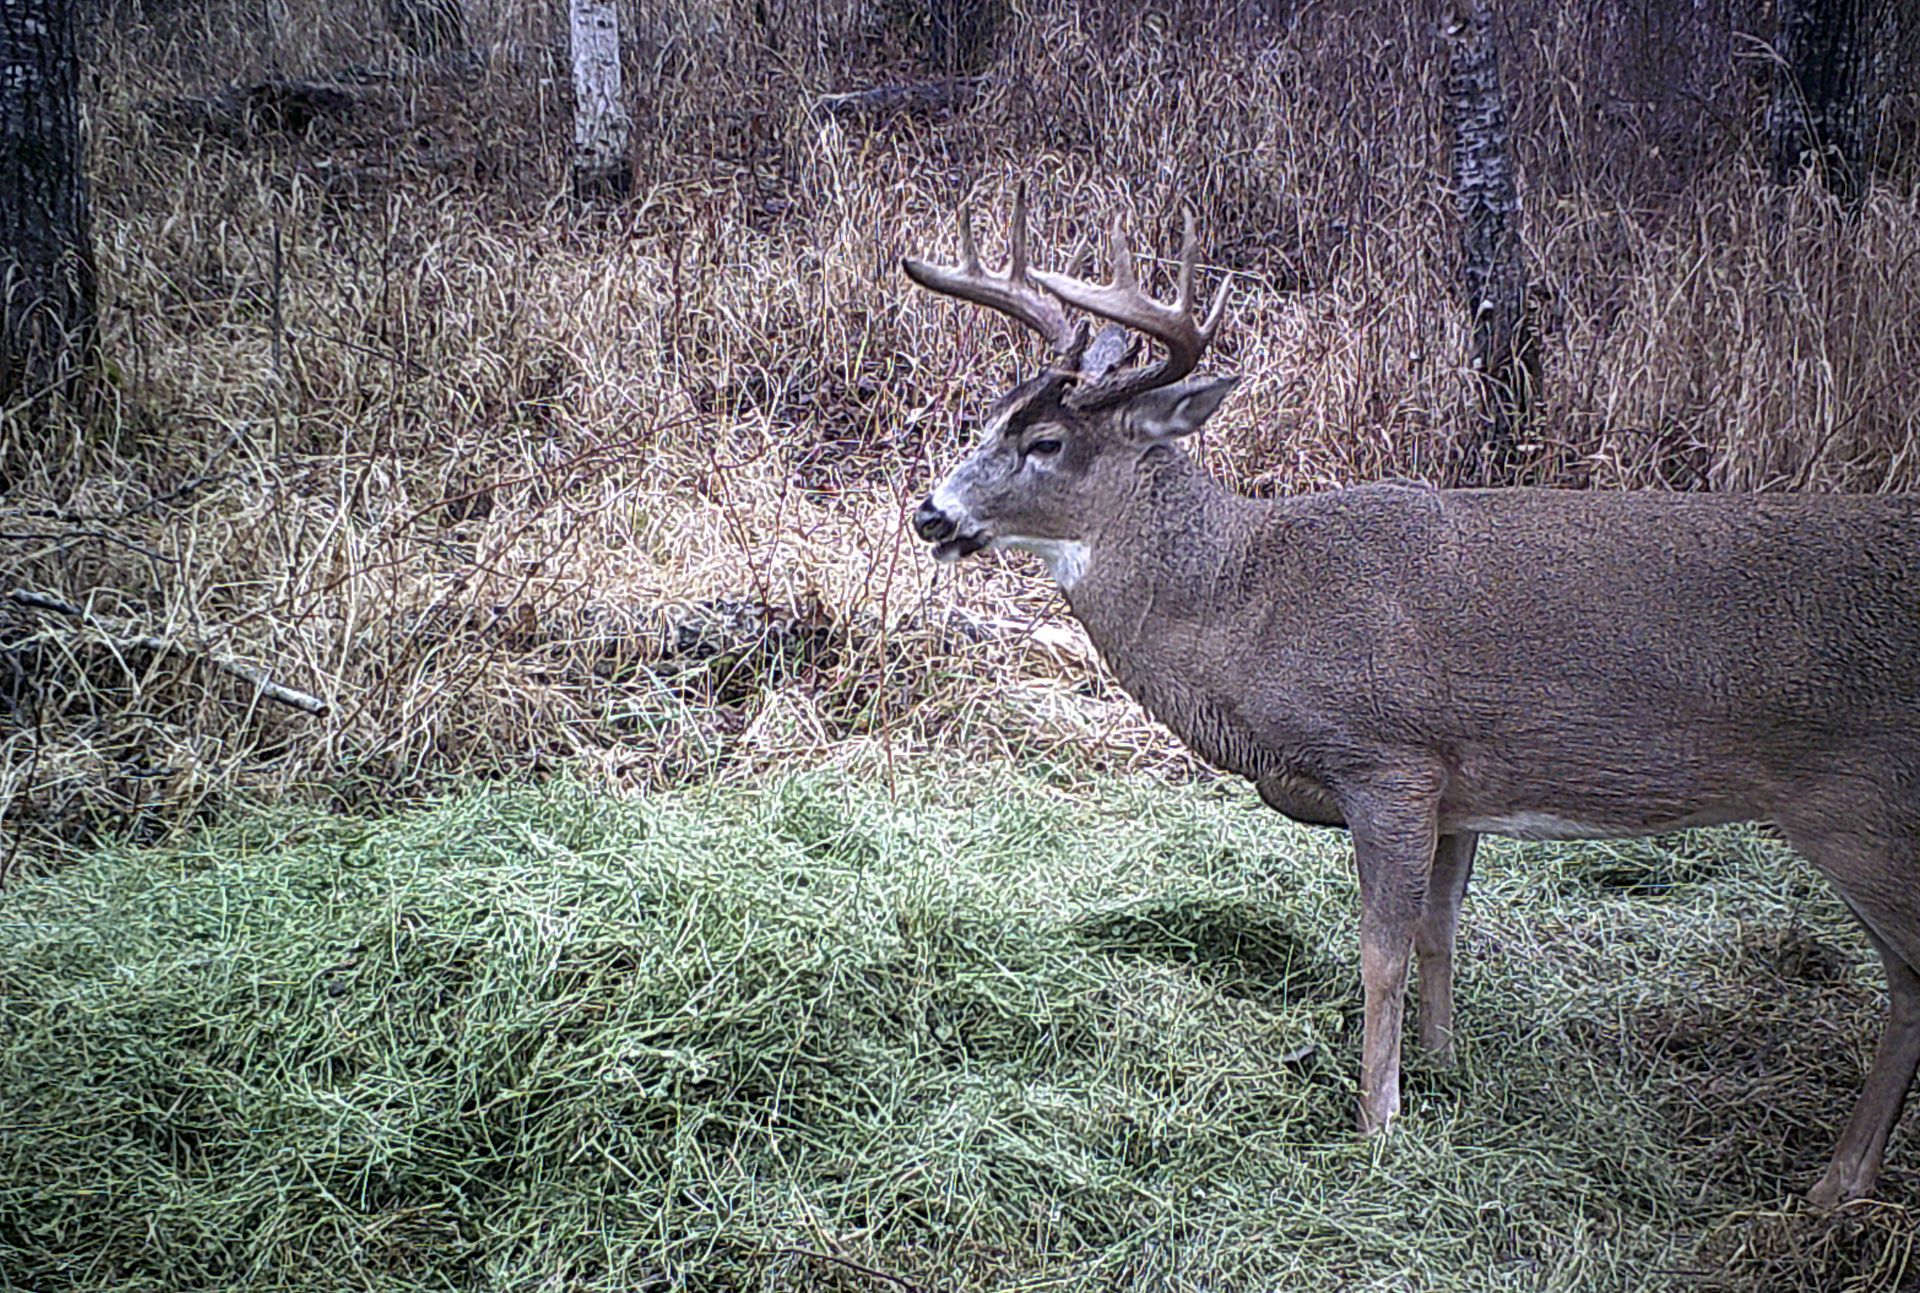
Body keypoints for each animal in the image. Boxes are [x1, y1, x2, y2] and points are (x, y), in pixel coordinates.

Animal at [903, 189, 1920, 1207]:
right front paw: (1444, 1068)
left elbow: (1380, 951)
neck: (1248, 603)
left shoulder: (1387, 762)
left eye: (1045, 442)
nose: (930, 514)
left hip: (1860, 807)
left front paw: (1377, 1122)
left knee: (1913, 974)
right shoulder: (1459, 786)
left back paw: (1836, 1183)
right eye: (990, 417)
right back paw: (1847, 1178)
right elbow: (1440, 932)